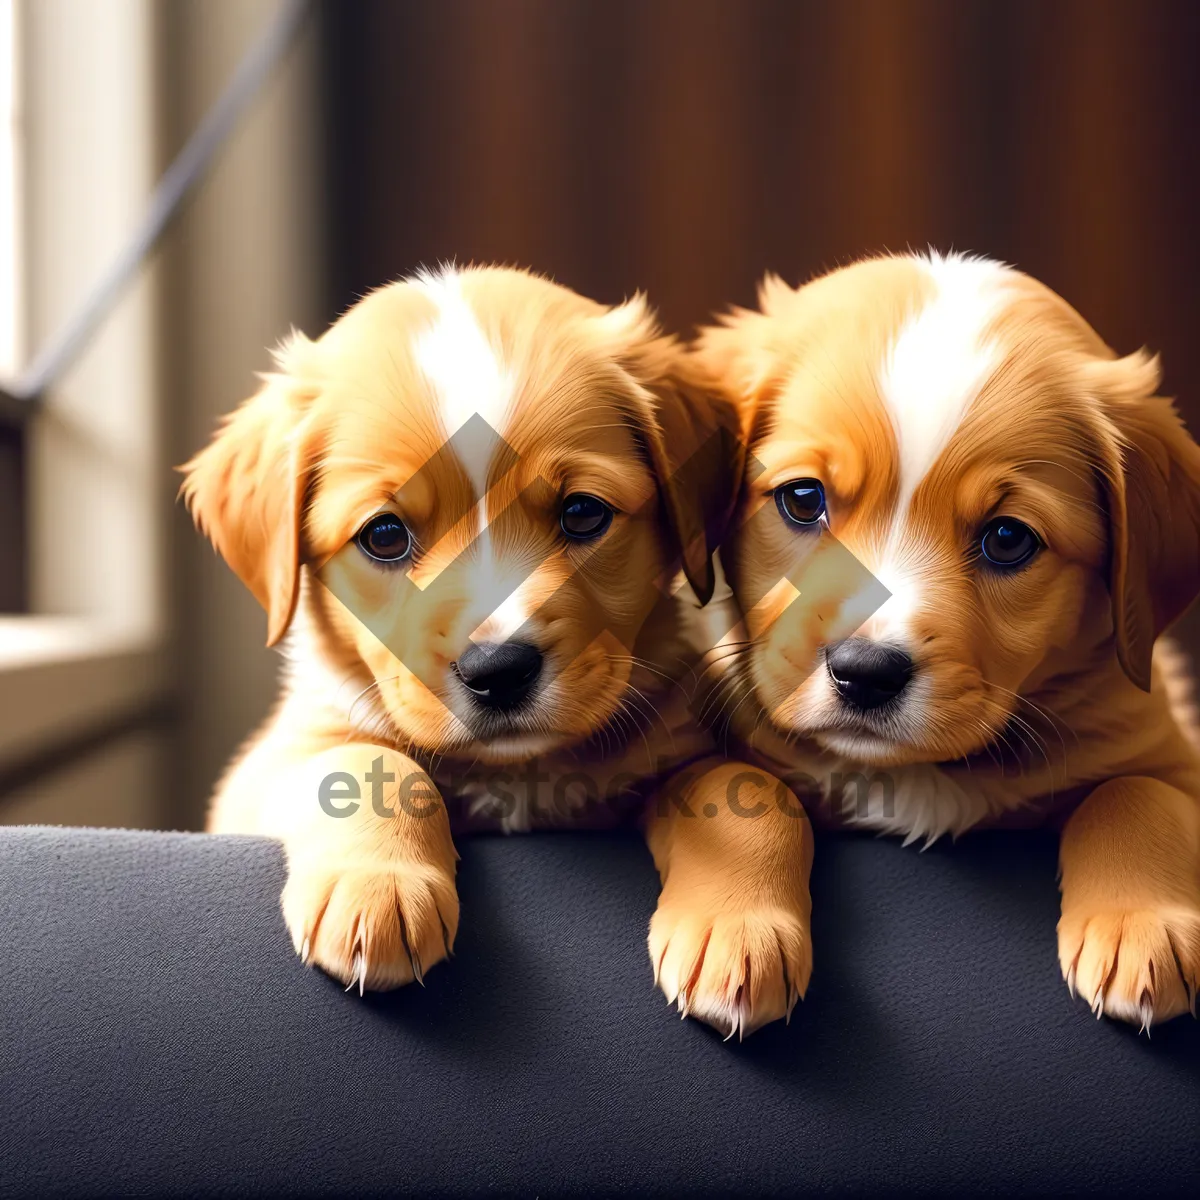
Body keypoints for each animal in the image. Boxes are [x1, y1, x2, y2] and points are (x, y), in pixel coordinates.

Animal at [182, 262, 811, 1032]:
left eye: (582, 514)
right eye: (384, 535)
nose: (497, 672)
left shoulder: (675, 745)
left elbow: (744, 790)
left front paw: (741, 928)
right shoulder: (270, 763)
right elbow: (363, 763)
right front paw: (377, 888)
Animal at [691, 250, 1200, 1032]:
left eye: (1007, 539)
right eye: (802, 500)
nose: (864, 672)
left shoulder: (1169, 751)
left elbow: (1139, 792)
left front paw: (1143, 926)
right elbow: (739, 787)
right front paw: (735, 930)